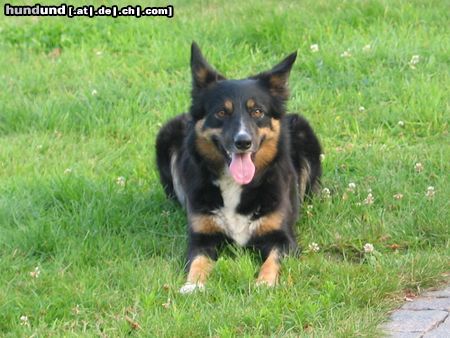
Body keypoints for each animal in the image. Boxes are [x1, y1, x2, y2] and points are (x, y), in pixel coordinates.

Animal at [156, 43, 322, 294]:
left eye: (257, 112)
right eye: (221, 112)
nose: (243, 142)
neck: (234, 185)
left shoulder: (282, 238)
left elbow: (272, 260)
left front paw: (264, 283)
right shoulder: (201, 238)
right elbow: (198, 262)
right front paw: (192, 285)